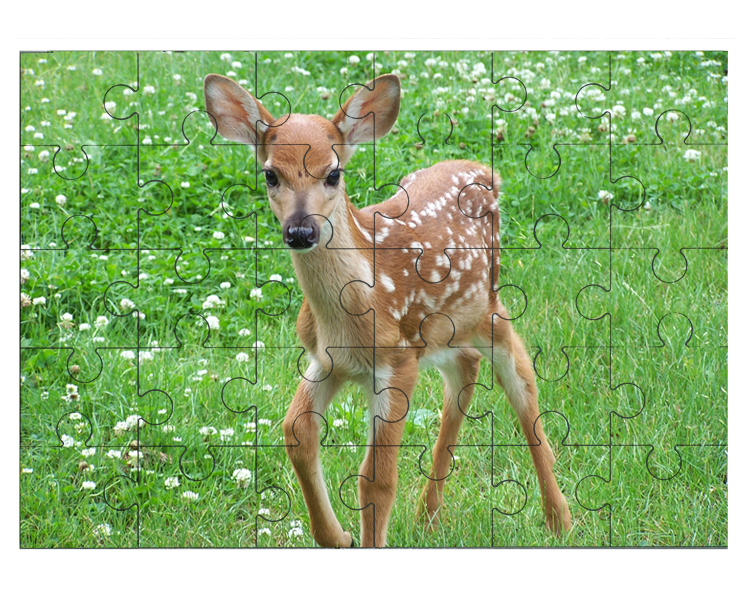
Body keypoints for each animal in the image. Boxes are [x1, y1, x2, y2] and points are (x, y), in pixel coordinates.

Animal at [203, 71, 572, 548]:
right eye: (269, 174)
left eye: (333, 173)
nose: (300, 231)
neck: (349, 314)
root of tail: (487, 171)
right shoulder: (327, 359)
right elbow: (296, 433)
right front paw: (338, 537)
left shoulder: (397, 362)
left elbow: (376, 479)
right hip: (443, 332)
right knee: (465, 371)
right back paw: (427, 516)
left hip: (489, 309)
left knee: (523, 386)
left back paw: (559, 519)